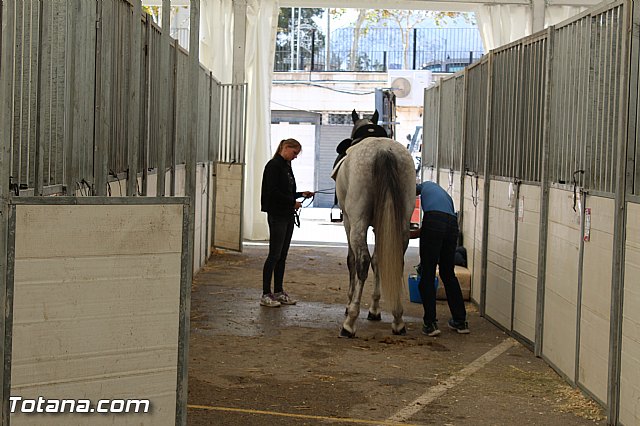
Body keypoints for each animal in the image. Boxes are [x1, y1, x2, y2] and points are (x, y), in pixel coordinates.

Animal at [332, 110, 416, 337]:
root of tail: (383, 151)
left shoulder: (348, 221)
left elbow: (352, 260)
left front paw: (349, 304)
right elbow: (379, 260)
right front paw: (375, 309)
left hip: (358, 222)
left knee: (362, 261)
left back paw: (350, 323)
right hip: (401, 223)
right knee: (394, 258)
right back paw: (398, 319)